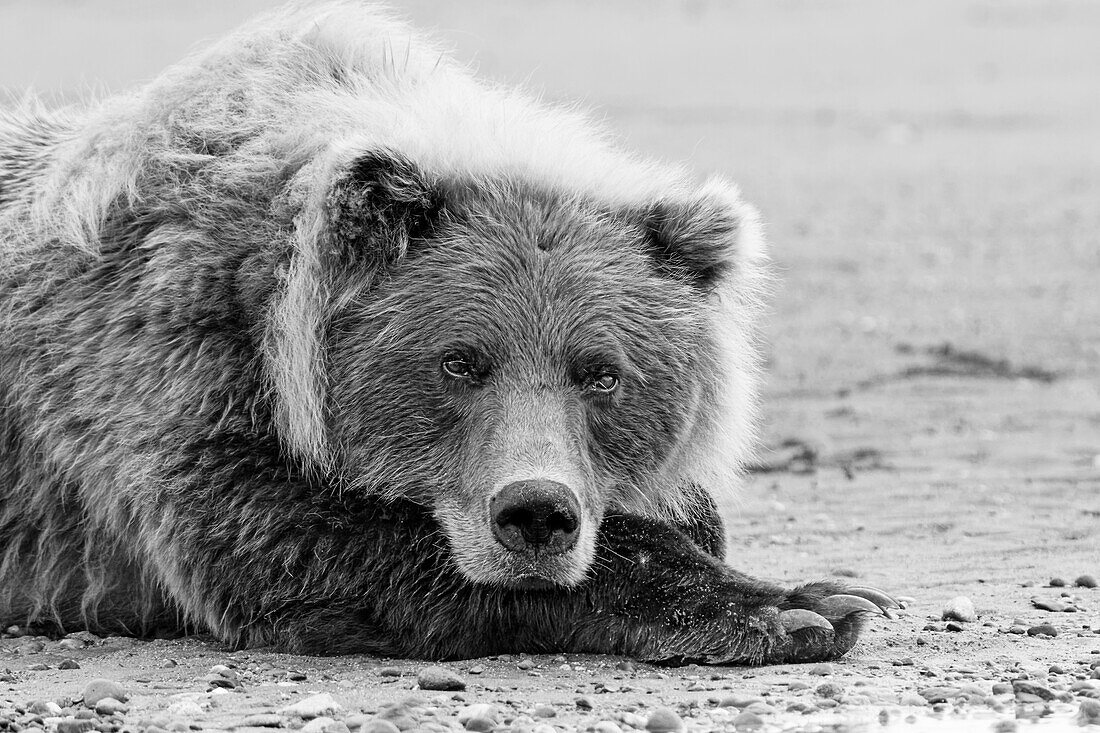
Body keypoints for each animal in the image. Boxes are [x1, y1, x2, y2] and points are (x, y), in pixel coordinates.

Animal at [0, 1, 893, 660]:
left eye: (601, 372)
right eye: (460, 362)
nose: (537, 513)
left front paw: (816, 589)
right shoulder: (169, 366)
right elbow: (288, 539)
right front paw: (795, 607)